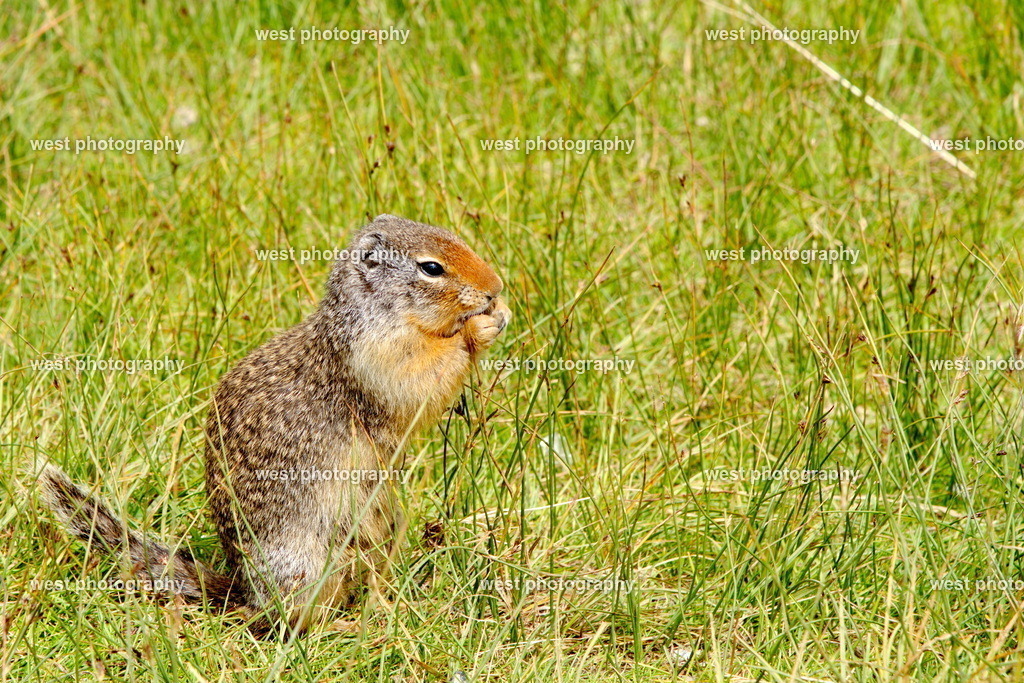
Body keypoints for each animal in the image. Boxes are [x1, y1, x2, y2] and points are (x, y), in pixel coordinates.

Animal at [38, 214, 510, 637]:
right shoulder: (377, 357)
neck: (378, 314)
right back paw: (341, 626)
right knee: (288, 622)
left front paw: (499, 313)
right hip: (307, 565)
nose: (495, 287)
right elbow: (420, 382)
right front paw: (479, 328)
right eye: (431, 267)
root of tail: (242, 592)